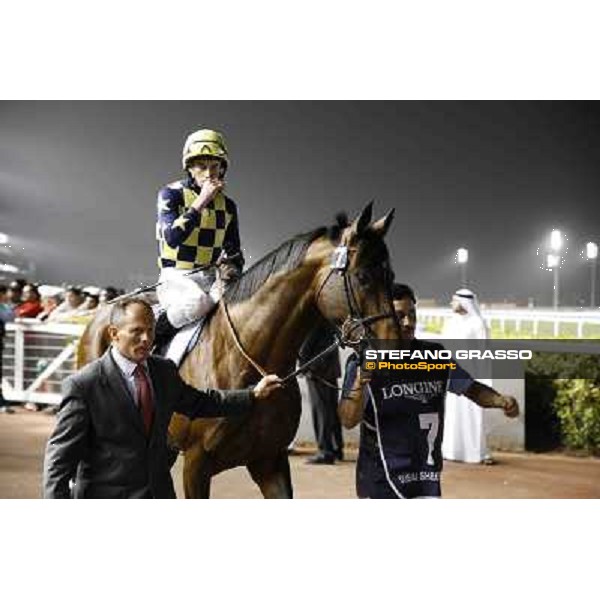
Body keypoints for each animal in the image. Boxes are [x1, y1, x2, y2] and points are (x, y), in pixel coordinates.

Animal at [77, 204, 400, 500]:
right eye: (362, 277)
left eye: (391, 276)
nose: (394, 347)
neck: (247, 356)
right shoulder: (195, 464)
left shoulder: (270, 461)